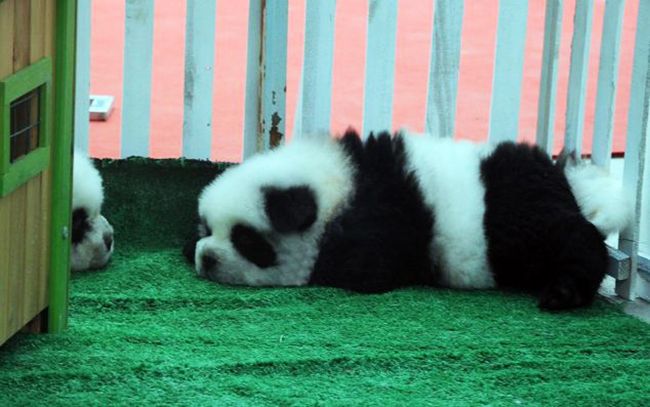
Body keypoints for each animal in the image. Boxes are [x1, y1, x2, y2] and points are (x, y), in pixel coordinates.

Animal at [184, 130, 632, 310]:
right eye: (206, 228)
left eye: (247, 241)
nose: (207, 259)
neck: (336, 186)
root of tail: (568, 185)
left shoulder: (381, 224)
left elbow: (366, 269)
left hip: (523, 216)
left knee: (574, 241)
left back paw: (564, 292)